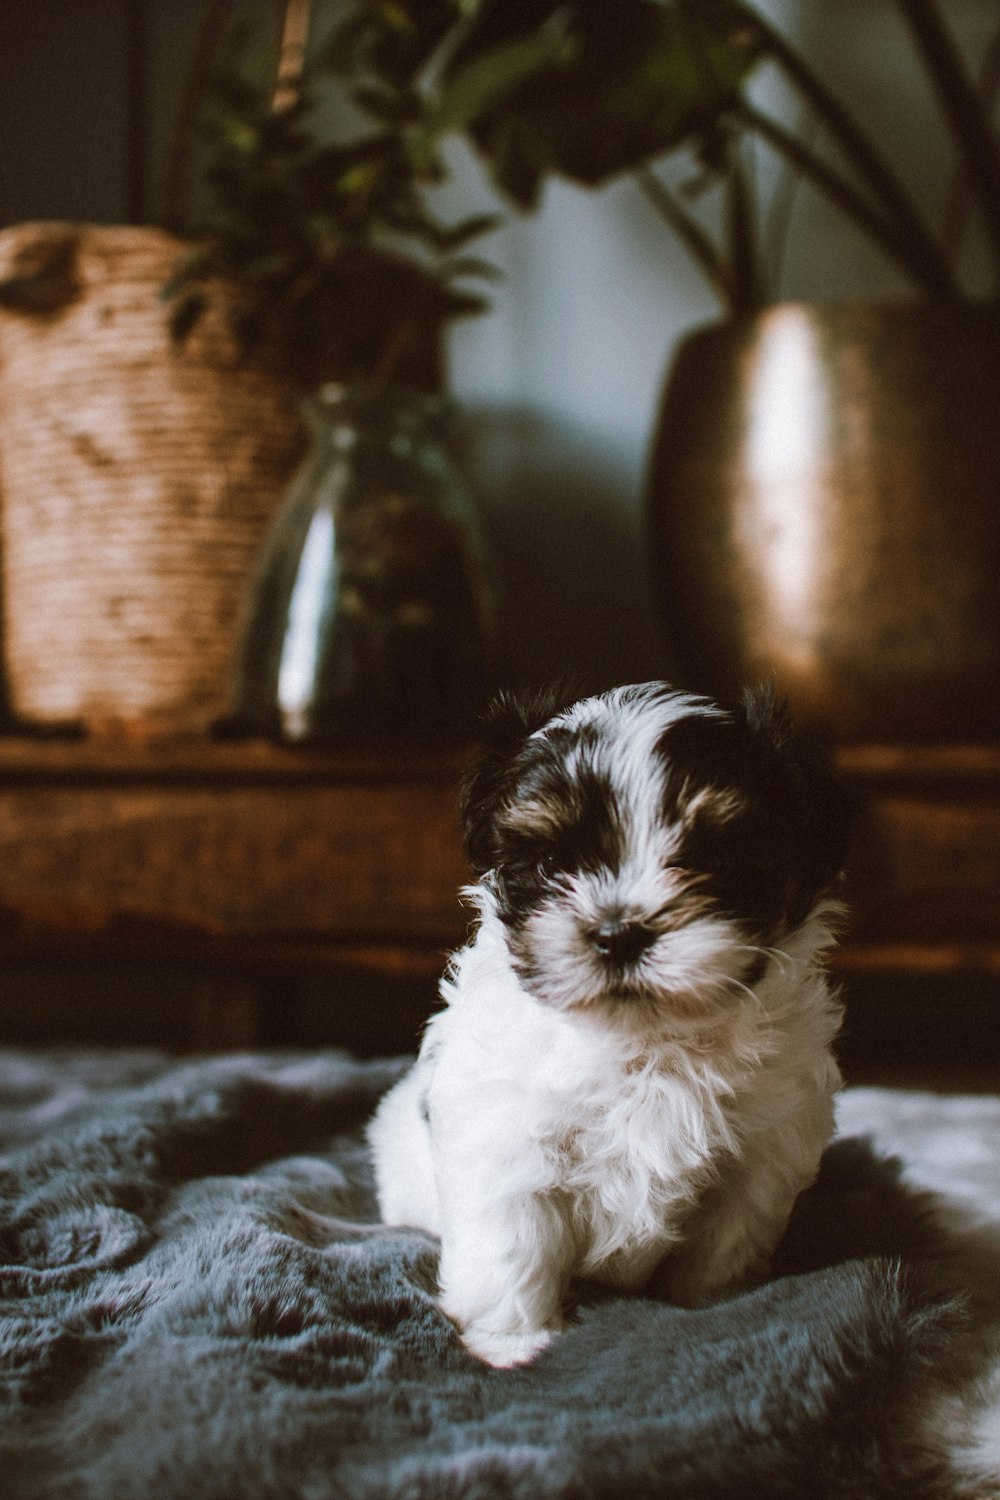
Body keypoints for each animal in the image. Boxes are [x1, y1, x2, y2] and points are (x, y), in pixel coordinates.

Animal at [367, 687, 851, 1368]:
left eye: (715, 859)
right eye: (549, 863)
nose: (619, 932)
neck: (643, 1041)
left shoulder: (760, 1155)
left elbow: (724, 1246)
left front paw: (714, 1307)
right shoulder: (507, 1144)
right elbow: (511, 1250)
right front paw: (511, 1344)